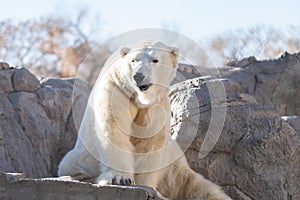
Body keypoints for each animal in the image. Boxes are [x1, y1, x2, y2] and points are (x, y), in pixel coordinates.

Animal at [58, 39, 232, 199]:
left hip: (172, 163)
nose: (138, 76)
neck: (140, 97)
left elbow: (149, 142)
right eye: (134, 60)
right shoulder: (116, 89)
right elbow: (114, 128)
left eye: (155, 60)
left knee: (195, 184)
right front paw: (121, 178)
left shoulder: (157, 105)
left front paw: (145, 187)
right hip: (78, 161)